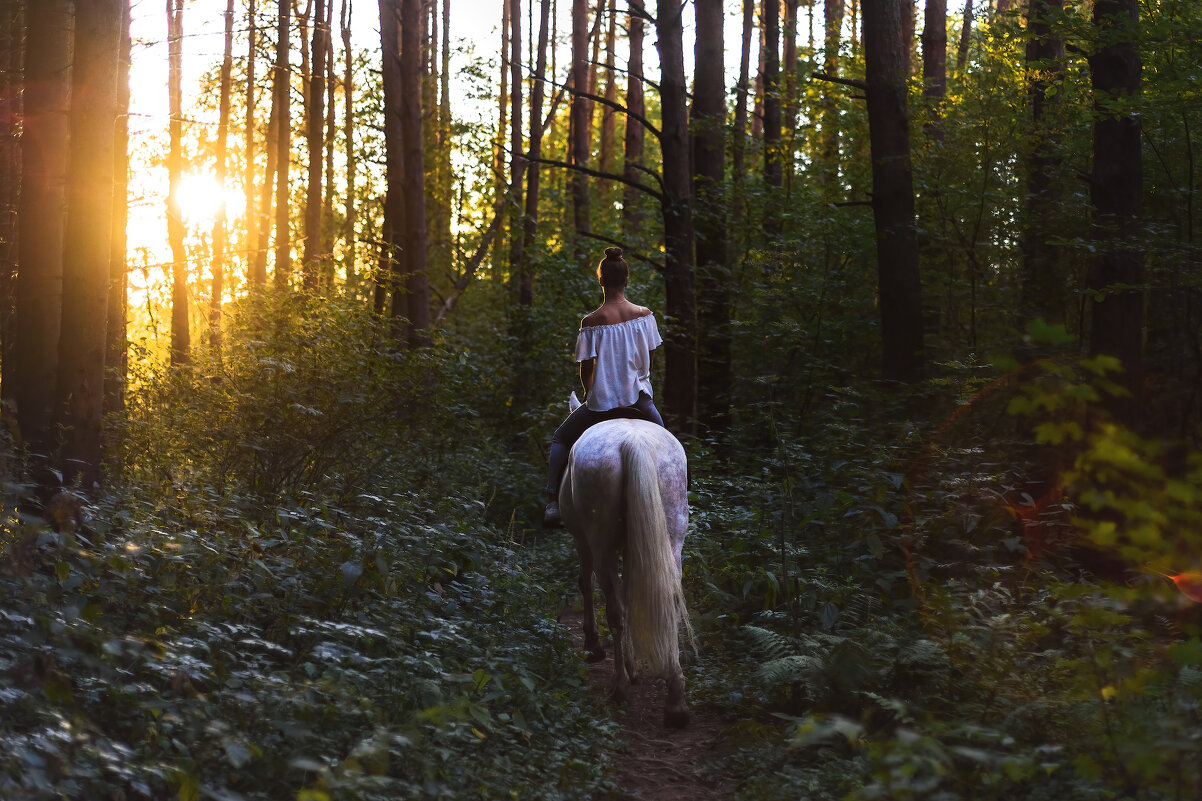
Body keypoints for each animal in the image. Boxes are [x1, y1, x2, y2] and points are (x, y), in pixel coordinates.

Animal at [557, 399, 692, 721]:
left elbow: (586, 583)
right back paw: (675, 700)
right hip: (671, 536)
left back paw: (619, 686)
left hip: (600, 542)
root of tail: (635, 444)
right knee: (668, 598)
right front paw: (634, 667)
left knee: (613, 609)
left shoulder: (582, 540)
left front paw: (593, 645)